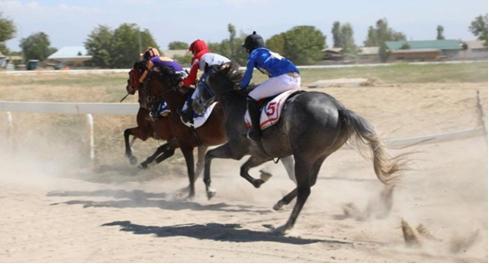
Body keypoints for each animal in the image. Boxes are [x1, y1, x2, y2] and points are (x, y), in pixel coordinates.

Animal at [195, 63, 404, 234]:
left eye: (201, 81)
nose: (196, 105)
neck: (236, 101)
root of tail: (339, 109)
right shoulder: (261, 153)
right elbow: (242, 170)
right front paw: (260, 180)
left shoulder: (236, 149)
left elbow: (210, 156)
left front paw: (210, 190)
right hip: (319, 156)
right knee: (309, 183)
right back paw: (281, 203)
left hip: (303, 156)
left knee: (305, 189)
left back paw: (286, 225)